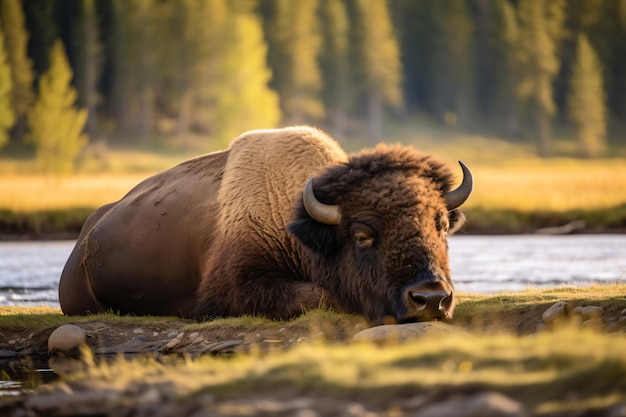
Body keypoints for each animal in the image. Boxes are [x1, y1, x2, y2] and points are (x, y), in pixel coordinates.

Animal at [58, 127, 470, 324]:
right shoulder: (235, 288)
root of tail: (82, 242)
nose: (431, 298)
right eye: (362, 236)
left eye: (441, 226)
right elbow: (317, 296)